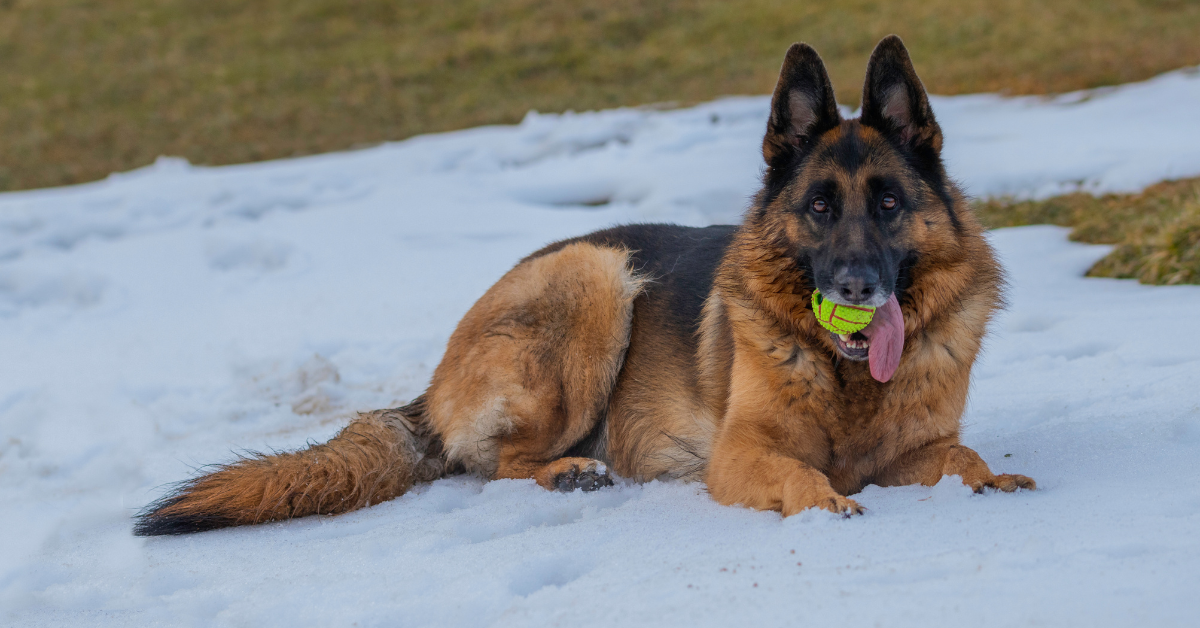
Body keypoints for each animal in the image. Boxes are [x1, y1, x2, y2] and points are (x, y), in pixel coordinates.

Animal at [131, 34, 1032, 535]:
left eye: (888, 204)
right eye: (818, 207)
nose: (855, 289)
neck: (848, 382)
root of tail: (434, 383)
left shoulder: (913, 449)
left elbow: (963, 453)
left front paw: (992, 481)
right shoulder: (740, 455)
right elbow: (799, 476)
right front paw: (827, 504)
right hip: (596, 280)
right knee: (496, 464)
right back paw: (567, 473)